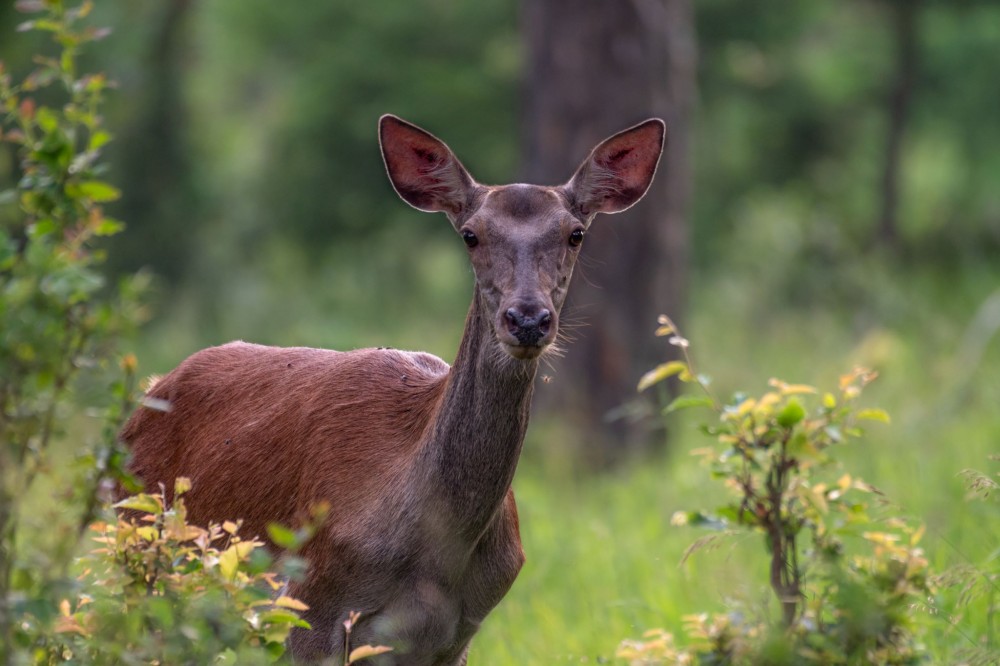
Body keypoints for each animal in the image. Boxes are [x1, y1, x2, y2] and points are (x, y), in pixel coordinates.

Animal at [117, 113, 664, 660]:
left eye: (575, 234)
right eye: (470, 235)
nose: (527, 319)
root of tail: (145, 398)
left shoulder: (457, 635)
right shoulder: (308, 604)